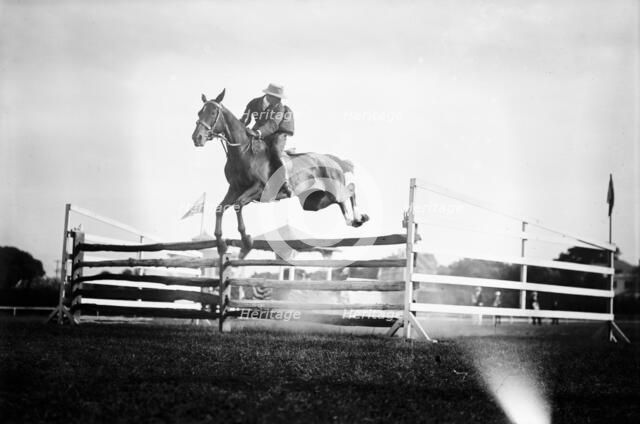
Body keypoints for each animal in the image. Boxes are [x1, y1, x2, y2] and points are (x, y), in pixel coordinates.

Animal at [191, 89, 369, 257]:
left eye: (213, 112)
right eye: (199, 112)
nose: (197, 138)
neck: (242, 151)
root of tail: (333, 160)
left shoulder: (259, 189)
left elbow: (238, 204)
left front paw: (246, 242)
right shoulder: (235, 188)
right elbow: (220, 209)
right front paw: (221, 244)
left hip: (333, 189)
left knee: (350, 189)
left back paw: (358, 217)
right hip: (313, 202)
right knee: (340, 200)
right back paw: (353, 221)